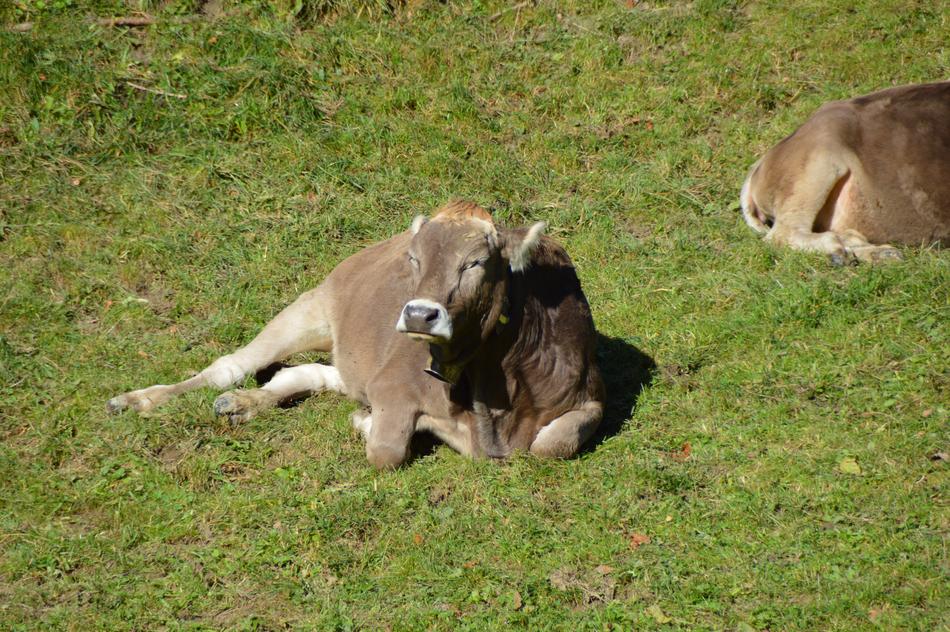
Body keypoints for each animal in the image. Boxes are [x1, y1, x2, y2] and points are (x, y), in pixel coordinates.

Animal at [107, 200, 605, 469]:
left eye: (475, 262)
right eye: (414, 258)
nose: (419, 314)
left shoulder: (591, 396)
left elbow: (552, 445)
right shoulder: (393, 385)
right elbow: (385, 449)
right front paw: (365, 423)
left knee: (305, 375)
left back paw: (241, 404)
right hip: (310, 306)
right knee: (230, 366)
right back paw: (138, 400)